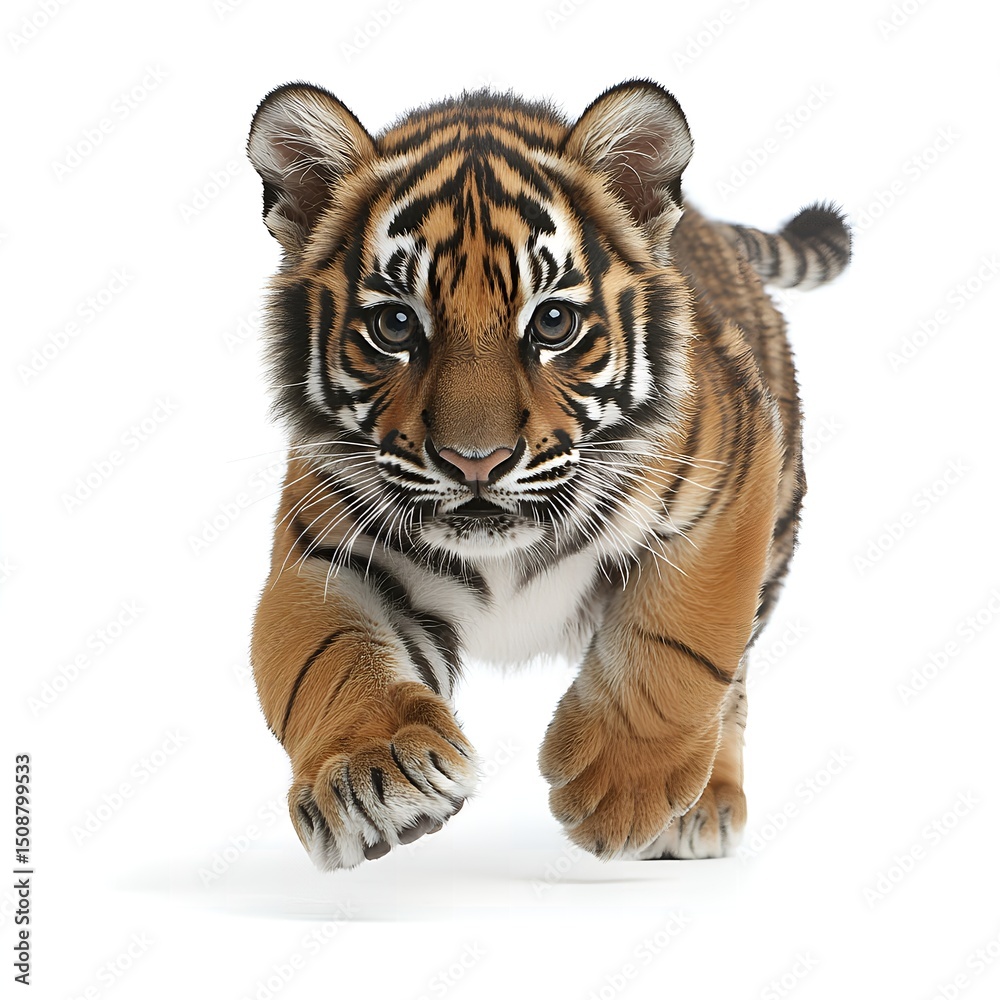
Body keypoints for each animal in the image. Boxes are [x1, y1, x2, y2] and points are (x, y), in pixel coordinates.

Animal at [246, 79, 850, 870]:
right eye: (396, 327)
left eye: (553, 323)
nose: (475, 461)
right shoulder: (324, 554)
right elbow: (326, 655)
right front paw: (373, 778)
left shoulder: (729, 489)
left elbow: (681, 646)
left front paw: (617, 784)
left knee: (735, 681)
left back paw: (701, 807)